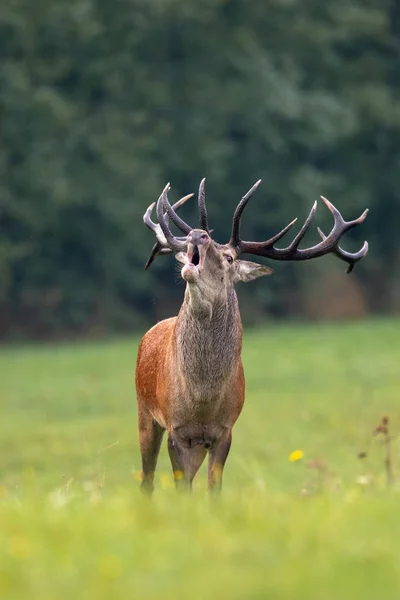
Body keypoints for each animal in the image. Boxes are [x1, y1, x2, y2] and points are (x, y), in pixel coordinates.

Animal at [135, 178, 368, 492]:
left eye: (229, 257)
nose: (197, 234)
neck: (202, 399)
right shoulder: (175, 427)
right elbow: (182, 487)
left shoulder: (225, 430)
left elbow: (214, 488)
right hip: (145, 413)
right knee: (146, 480)